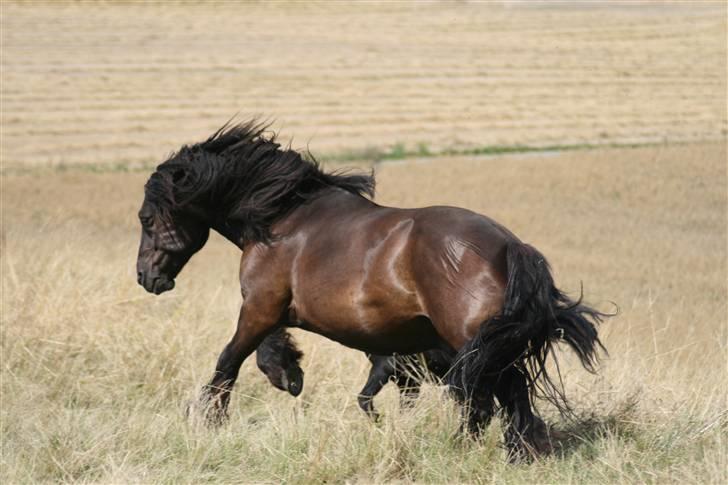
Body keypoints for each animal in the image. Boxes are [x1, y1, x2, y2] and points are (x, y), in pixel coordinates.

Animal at [136, 122, 608, 462]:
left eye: (145, 218)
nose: (146, 277)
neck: (280, 219)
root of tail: (509, 246)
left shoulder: (260, 306)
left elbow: (229, 361)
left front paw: (210, 419)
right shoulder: (273, 311)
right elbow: (261, 349)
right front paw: (289, 373)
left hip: (473, 344)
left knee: (499, 397)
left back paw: (489, 450)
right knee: (501, 398)